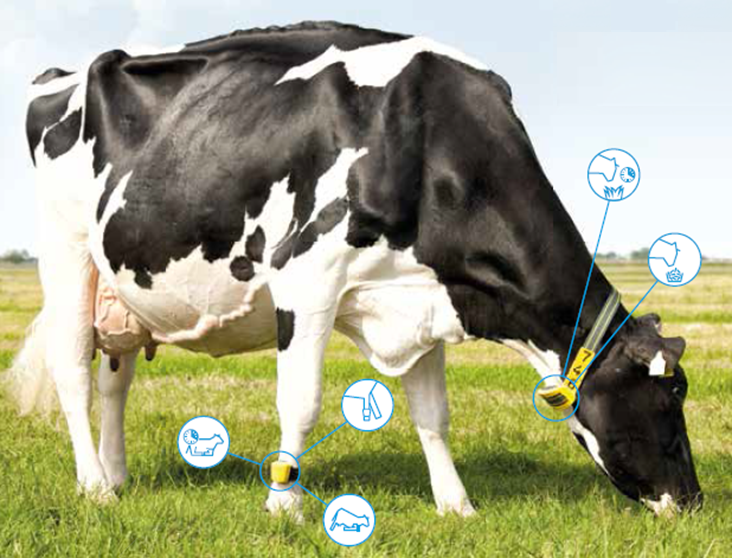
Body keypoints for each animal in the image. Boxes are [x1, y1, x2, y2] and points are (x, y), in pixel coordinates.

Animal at [8, 21, 701, 520]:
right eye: (666, 399)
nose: (693, 501)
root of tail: (62, 73)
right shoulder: (306, 277)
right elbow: (302, 402)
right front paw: (284, 506)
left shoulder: (426, 296)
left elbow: (433, 413)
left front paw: (457, 506)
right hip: (67, 250)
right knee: (73, 369)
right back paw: (95, 487)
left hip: (123, 283)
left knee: (115, 381)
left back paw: (117, 474)